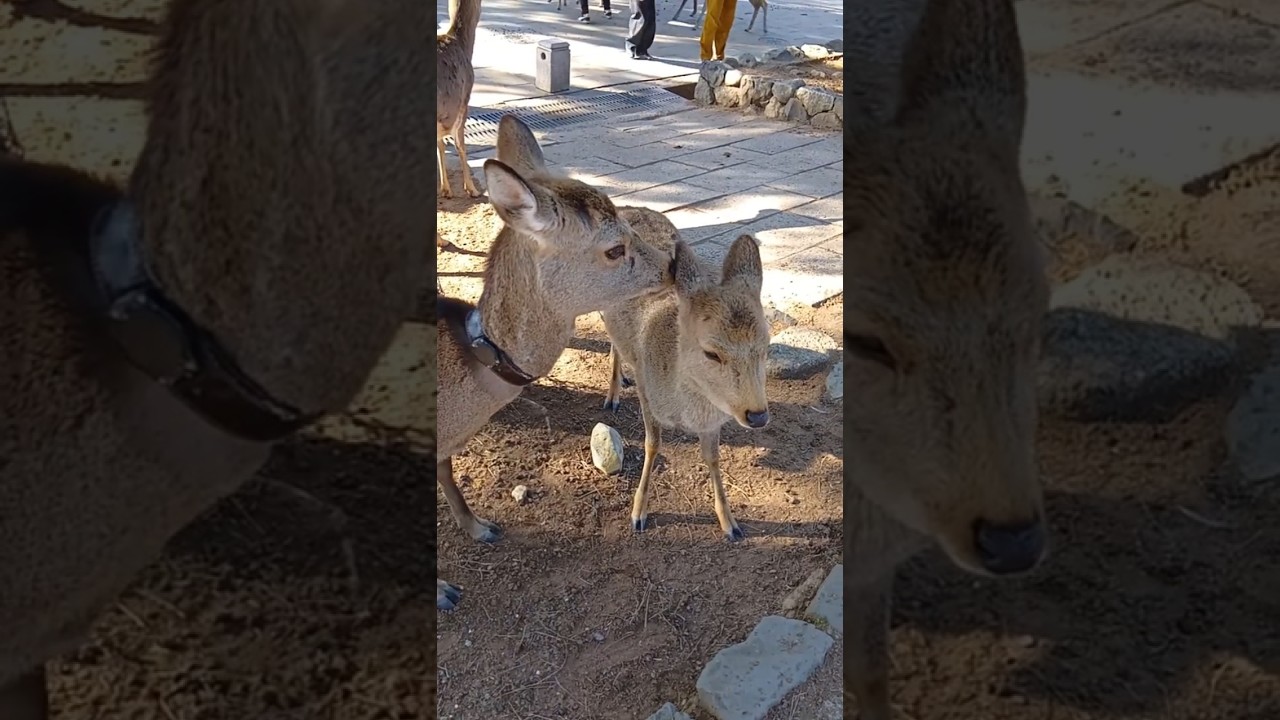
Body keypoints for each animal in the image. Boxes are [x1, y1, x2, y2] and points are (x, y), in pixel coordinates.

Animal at [600, 230, 769, 541]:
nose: (758, 415)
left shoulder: (713, 420)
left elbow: (713, 457)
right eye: (711, 353)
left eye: (765, 346)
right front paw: (638, 513)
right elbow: (652, 444)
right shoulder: (647, 391)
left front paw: (730, 523)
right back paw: (613, 395)